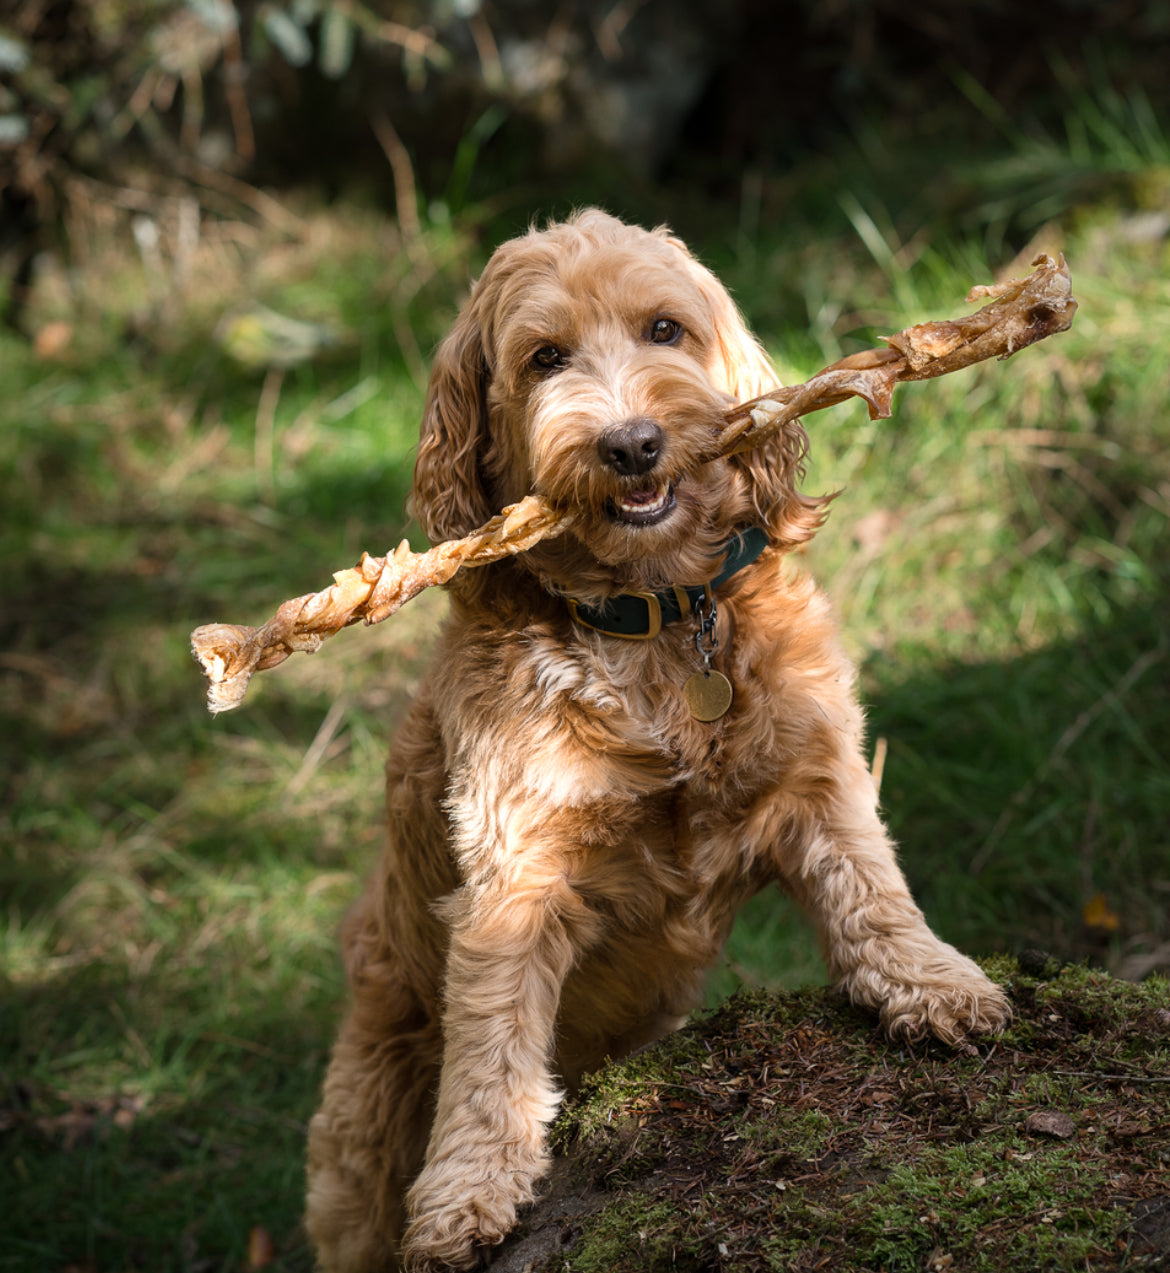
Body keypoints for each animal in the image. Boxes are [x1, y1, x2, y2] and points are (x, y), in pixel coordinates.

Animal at [301, 211, 1008, 1273]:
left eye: (664, 329)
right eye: (544, 357)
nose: (631, 443)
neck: (656, 617)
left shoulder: (815, 775)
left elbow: (870, 887)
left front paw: (932, 982)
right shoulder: (514, 872)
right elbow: (493, 1042)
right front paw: (470, 1188)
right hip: (368, 1112)